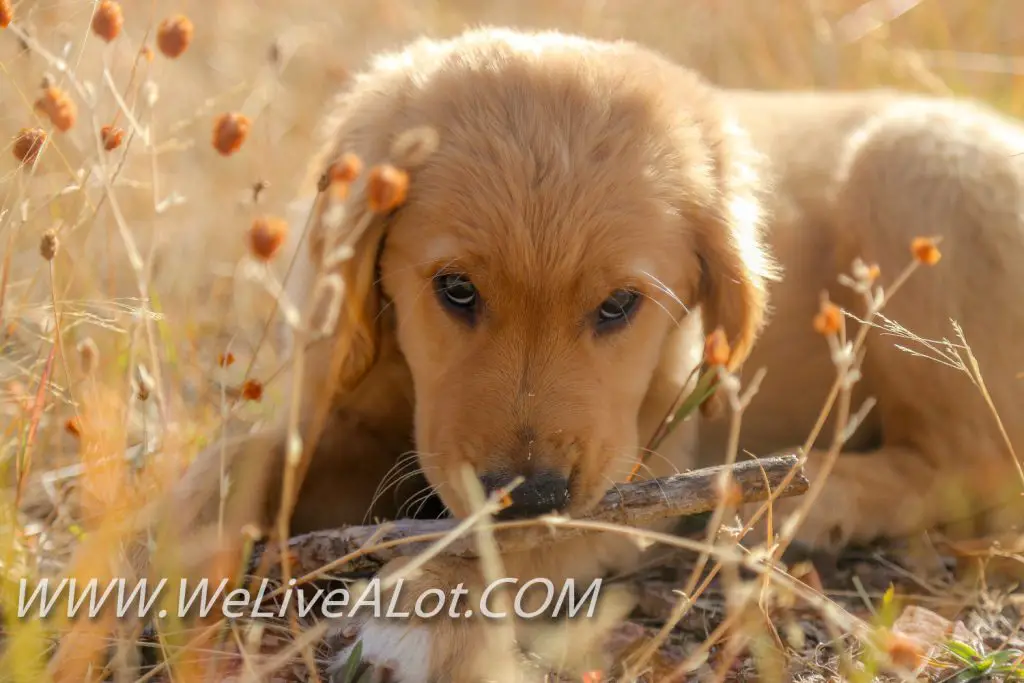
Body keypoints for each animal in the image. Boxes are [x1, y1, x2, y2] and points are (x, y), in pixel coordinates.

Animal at [146, 26, 1024, 683]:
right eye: (455, 289)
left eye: (618, 306)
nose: (529, 488)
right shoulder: (344, 399)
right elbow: (239, 455)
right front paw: (165, 552)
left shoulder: (637, 467)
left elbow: (512, 540)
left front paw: (431, 603)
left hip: (918, 165)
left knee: (973, 465)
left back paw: (811, 497)